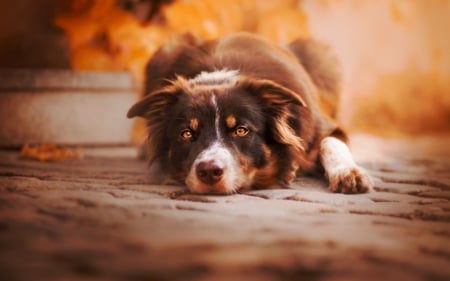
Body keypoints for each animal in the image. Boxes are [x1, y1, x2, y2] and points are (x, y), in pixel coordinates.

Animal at [126, 31, 372, 194]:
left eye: (241, 130)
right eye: (186, 134)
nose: (209, 172)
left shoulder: (323, 126)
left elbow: (332, 144)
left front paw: (348, 173)